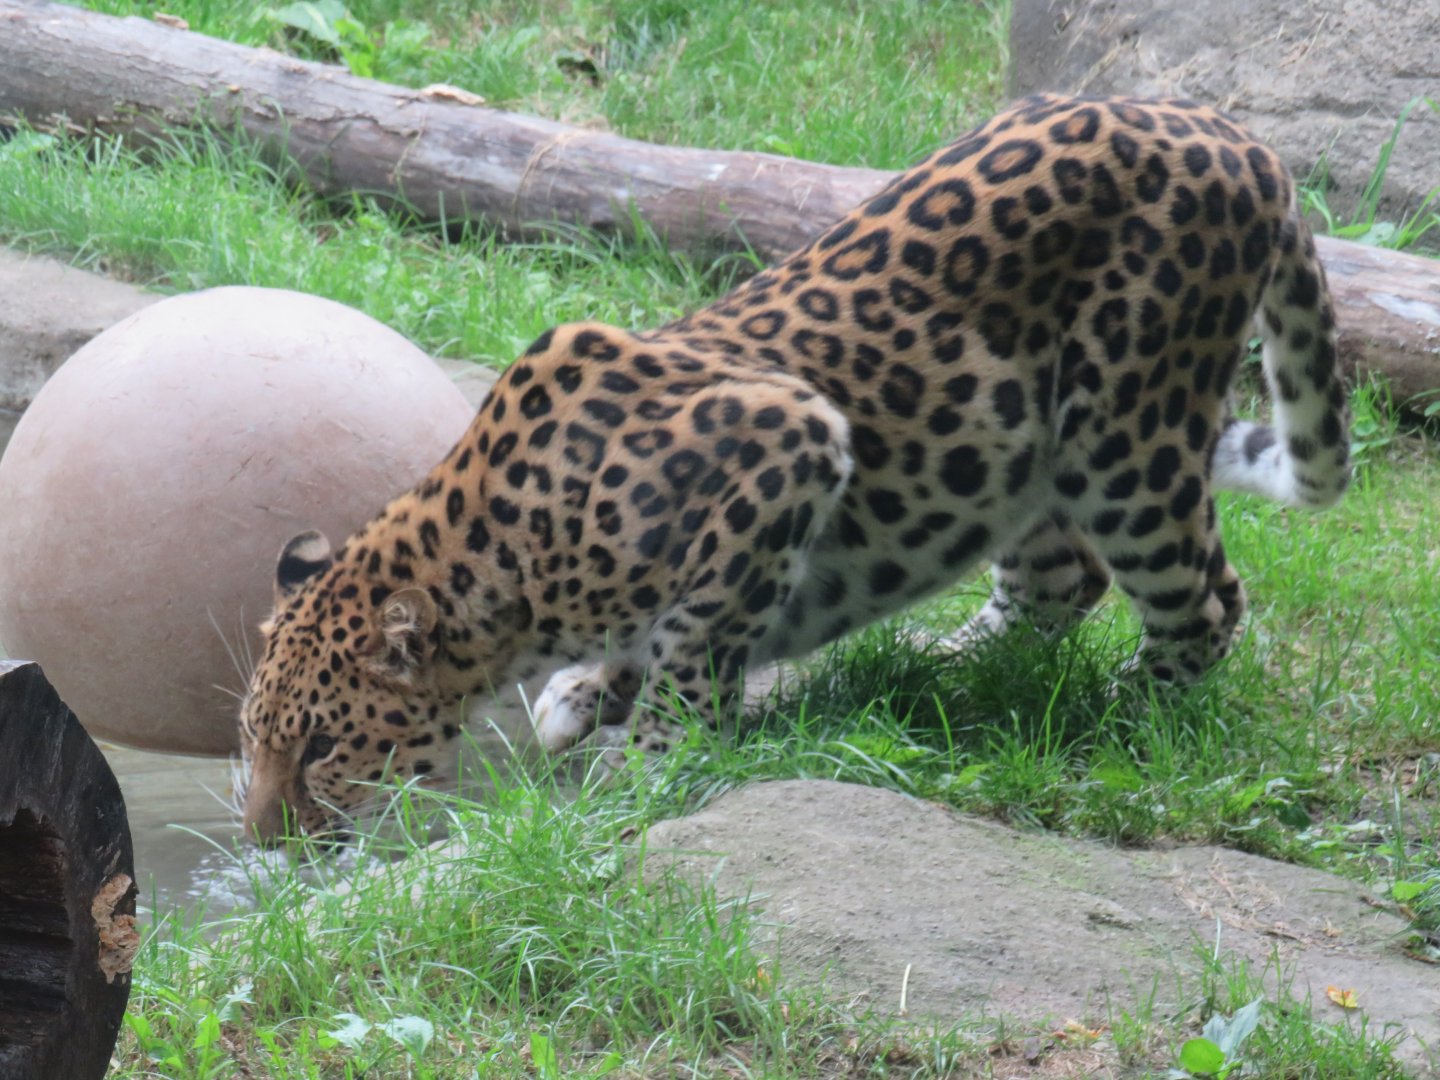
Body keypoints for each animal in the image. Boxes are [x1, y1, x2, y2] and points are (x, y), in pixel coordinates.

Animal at [239, 93, 1351, 842]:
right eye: (252, 736)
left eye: (323, 747)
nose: (264, 842)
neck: (506, 561)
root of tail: (1243, 141)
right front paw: (586, 698)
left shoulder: (790, 442)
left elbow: (695, 640)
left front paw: (650, 765)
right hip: (1024, 449)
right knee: (1057, 577)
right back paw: (946, 666)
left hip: (1129, 433)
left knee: (1204, 601)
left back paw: (1121, 718)